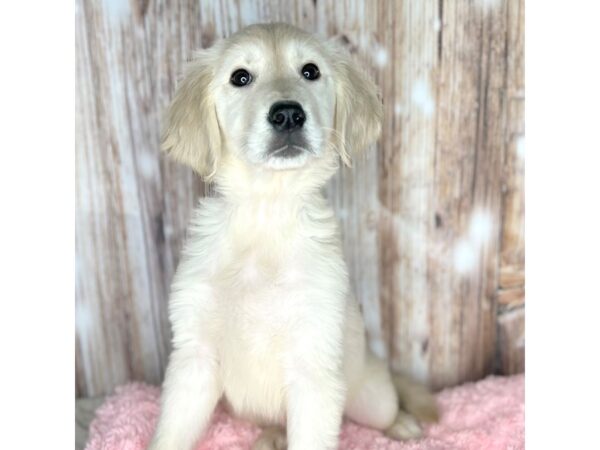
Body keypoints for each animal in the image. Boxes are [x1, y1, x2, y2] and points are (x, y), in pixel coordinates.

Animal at [145, 23, 436, 450]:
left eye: (310, 71)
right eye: (241, 77)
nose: (287, 115)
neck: (266, 211)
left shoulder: (313, 365)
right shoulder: (193, 358)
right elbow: (170, 433)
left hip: (370, 395)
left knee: (388, 406)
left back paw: (402, 426)